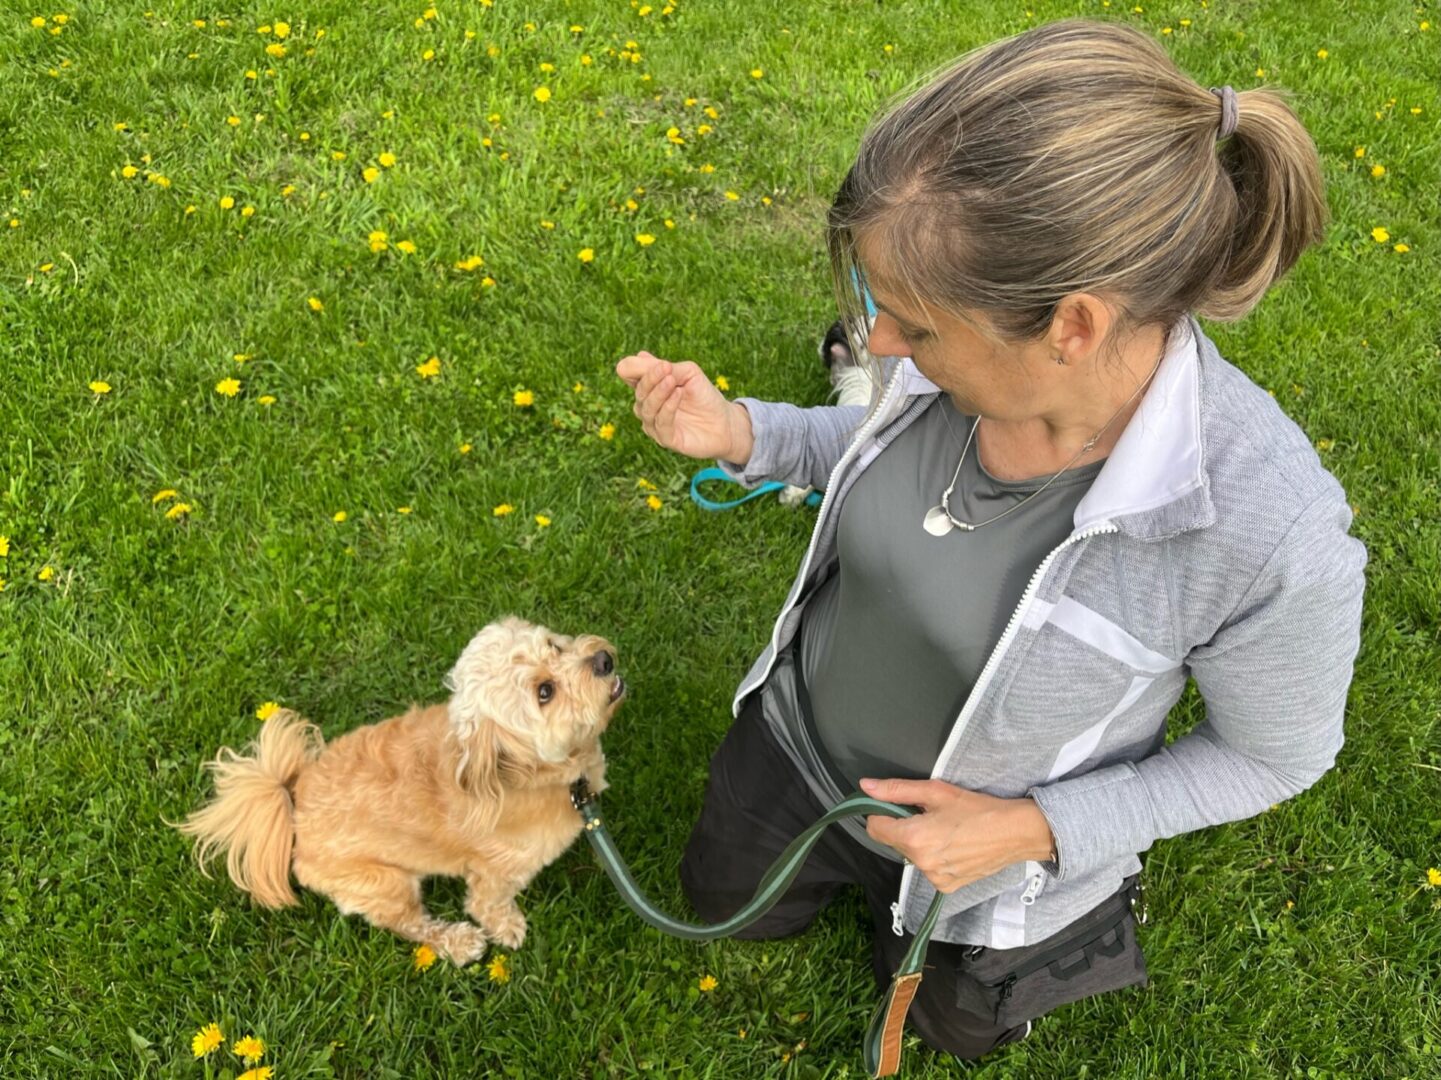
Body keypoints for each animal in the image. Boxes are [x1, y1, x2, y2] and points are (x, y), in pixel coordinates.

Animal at [175, 614, 625, 963]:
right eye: (544, 692)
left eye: (553, 644)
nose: (604, 659)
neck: (521, 773)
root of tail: (294, 810)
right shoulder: (493, 874)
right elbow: (487, 905)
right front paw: (507, 928)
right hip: (386, 885)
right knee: (410, 926)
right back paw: (457, 942)